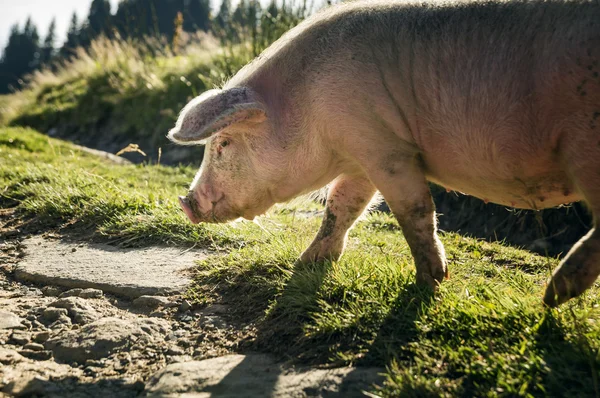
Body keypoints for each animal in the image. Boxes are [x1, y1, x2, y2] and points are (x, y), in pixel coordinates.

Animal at [168, 0, 600, 308]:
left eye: (223, 144)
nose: (185, 202)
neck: (305, 104)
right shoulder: (361, 155)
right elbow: (342, 207)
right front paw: (306, 264)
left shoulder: (386, 148)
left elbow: (413, 211)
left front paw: (431, 282)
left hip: (585, 146)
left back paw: (551, 298)